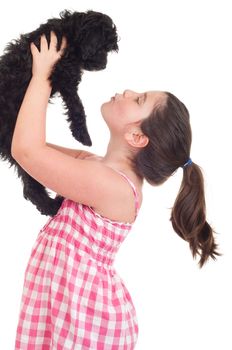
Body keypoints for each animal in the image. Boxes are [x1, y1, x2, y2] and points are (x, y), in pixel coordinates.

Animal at [0, 8, 118, 216]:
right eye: (103, 48)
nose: (104, 65)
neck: (69, 34)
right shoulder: (64, 75)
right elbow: (77, 106)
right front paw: (83, 135)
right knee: (31, 186)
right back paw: (52, 207)